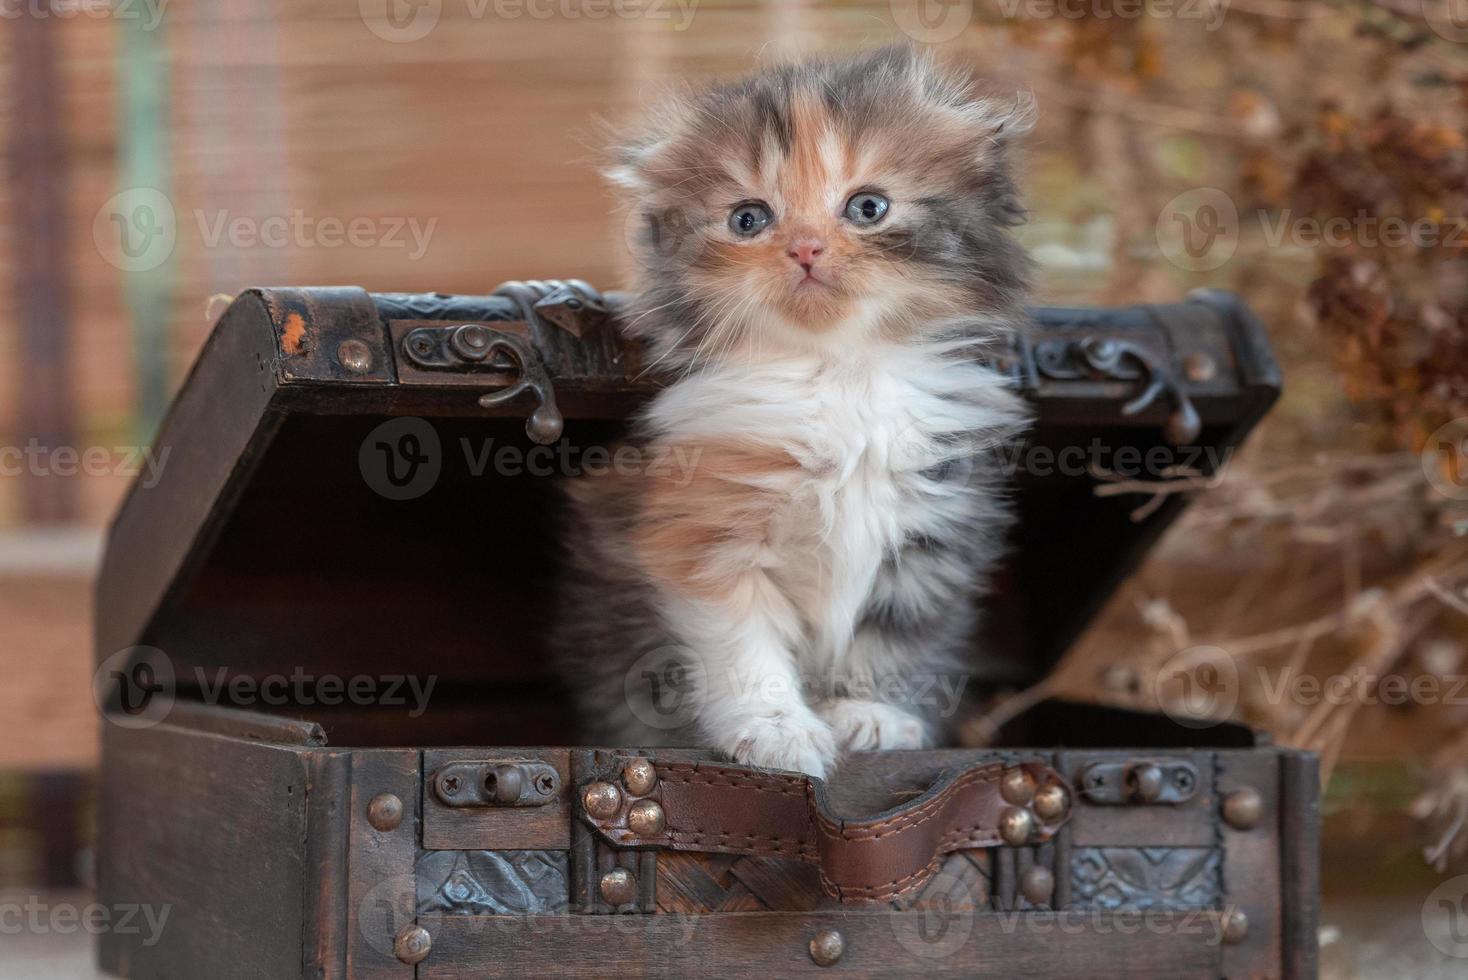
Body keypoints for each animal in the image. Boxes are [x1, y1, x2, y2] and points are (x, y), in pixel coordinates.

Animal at [557, 49, 1033, 774]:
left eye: (868, 207)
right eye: (749, 219)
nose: (806, 247)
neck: (838, 376)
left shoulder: (932, 538)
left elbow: (895, 639)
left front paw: (871, 715)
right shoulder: (702, 533)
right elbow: (745, 648)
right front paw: (777, 733)